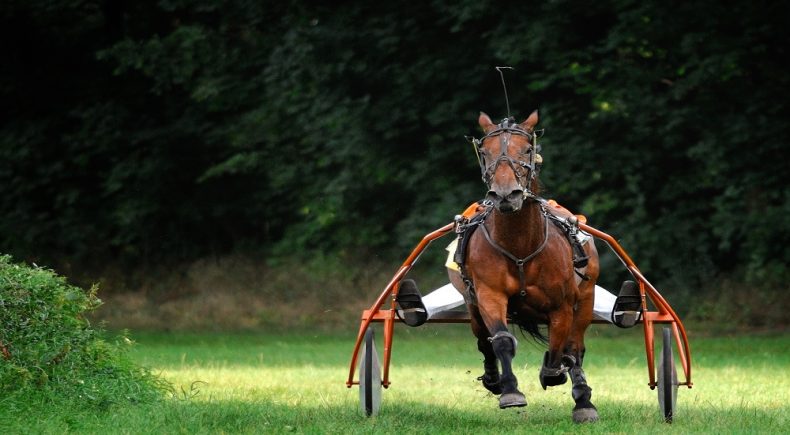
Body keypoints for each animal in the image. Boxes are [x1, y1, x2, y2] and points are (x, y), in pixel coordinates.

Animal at [448, 110, 604, 424]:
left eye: (526, 150)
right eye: (485, 151)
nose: (505, 194)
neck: (519, 245)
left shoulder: (562, 305)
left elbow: (560, 348)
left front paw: (555, 374)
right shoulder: (489, 294)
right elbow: (501, 341)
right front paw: (509, 391)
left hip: (587, 297)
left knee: (575, 346)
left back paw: (583, 400)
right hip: (472, 305)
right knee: (484, 340)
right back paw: (493, 378)